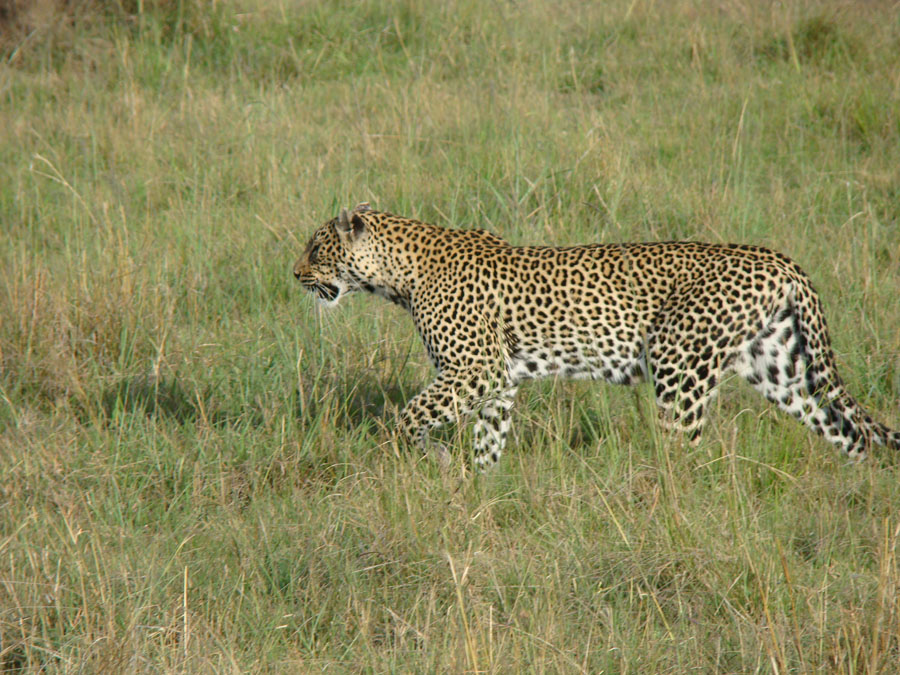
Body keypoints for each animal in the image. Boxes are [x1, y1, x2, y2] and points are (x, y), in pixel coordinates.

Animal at [296, 202, 900, 470]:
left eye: (315, 248)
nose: (294, 273)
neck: (398, 275)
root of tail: (778, 259)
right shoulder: (498, 380)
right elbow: (487, 438)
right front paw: (478, 484)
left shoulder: (476, 369)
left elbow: (409, 416)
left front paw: (429, 457)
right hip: (778, 368)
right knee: (850, 433)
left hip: (679, 365)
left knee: (685, 450)